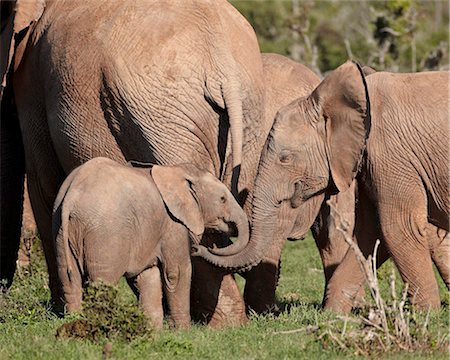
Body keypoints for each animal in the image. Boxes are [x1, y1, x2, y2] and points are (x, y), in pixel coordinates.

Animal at [53, 158, 250, 330]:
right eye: (223, 199)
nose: (198, 248)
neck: (176, 171)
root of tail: (72, 195)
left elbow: (147, 275)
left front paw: (152, 330)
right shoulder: (173, 223)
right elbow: (176, 273)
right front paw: (182, 331)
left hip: (61, 230)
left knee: (69, 278)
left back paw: (74, 322)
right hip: (105, 234)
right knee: (103, 282)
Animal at [248, 59, 448, 312]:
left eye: (285, 158)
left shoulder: (389, 154)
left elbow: (399, 227)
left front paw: (427, 315)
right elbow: (370, 233)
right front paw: (333, 314)